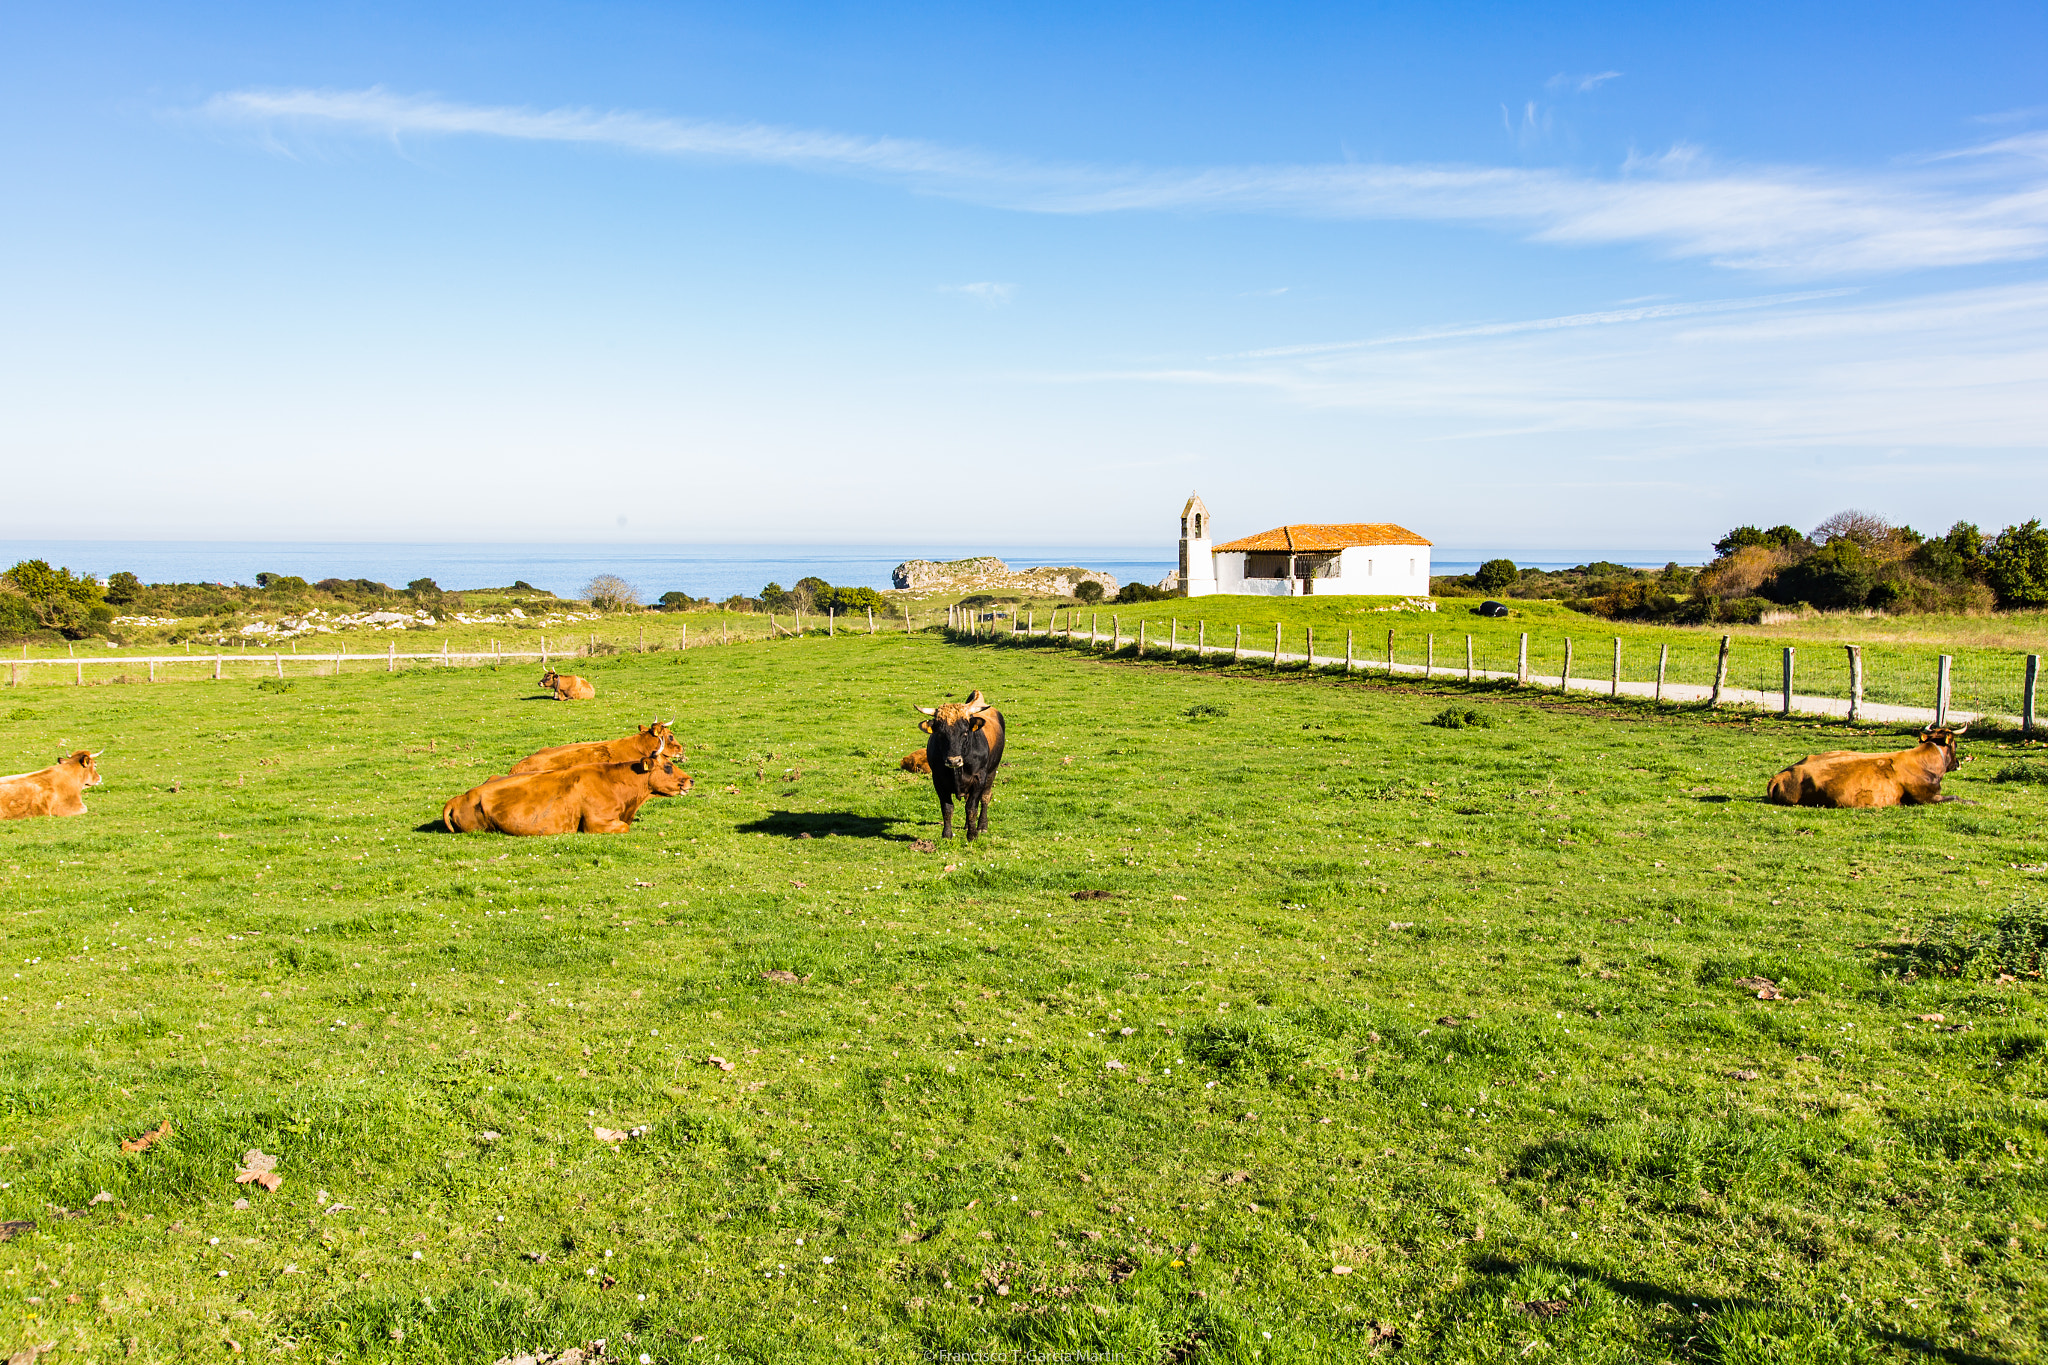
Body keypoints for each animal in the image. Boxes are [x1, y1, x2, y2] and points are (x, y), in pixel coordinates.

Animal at [917, 687, 1003, 839]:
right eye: (940, 734)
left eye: (965, 733)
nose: (953, 760)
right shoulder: (938, 780)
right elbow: (947, 808)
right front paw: (947, 834)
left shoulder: (979, 779)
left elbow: (971, 808)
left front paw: (973, 835)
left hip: (992, 771)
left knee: (985, 797)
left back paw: (982, 826)